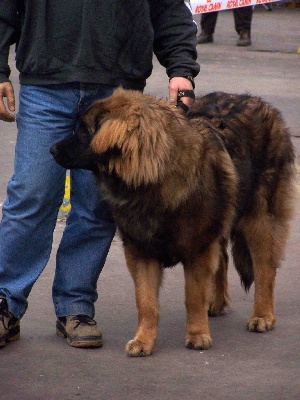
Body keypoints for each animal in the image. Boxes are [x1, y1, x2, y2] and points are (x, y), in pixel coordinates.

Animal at [49, 87, 296, 356]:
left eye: (84, 131)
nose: (51, 149)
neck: (154, 177)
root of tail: (257, 102)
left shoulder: (198, 249)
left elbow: (193, 297)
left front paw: (198, 335)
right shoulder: (140, 250)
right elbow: (145, 302)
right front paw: (143, 340)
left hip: (259, 219)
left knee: (264, 268)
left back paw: (263, 316)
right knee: (223, 258)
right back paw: (217, 303)